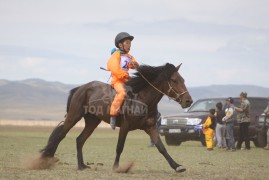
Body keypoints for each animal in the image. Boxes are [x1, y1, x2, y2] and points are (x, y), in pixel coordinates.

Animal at [38, 62, 192, 172]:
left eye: (183, 80)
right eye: (174, 80)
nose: (188, 101)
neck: (142, 99)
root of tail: (81, 88)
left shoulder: (150, 127)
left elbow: (161, 147)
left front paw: (177, 166)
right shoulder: (125, 127)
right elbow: (119, 146)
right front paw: (116, 167)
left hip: (92, 121)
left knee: (80, 140)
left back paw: (81, 166)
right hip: (73, 117)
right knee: (60, 136)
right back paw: (45, 160)